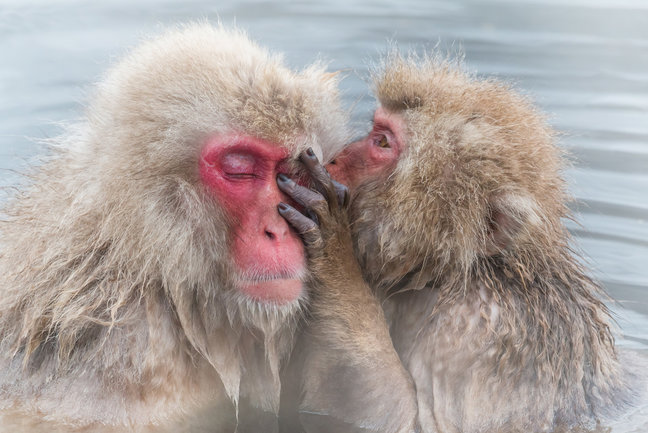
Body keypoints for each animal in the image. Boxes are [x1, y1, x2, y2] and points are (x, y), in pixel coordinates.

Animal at [280, 54, 636, 432]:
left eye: (382, 143)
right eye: (376, 129)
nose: (333, 158)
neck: (444, 276)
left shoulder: (480, 334)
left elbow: (402, 420)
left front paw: (335, 252)